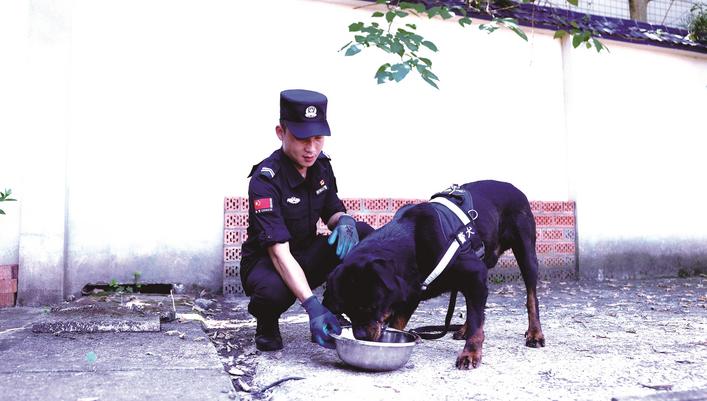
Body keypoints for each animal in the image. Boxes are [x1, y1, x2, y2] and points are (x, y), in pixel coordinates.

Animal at [324, 180, 544, 368]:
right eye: (347, 310)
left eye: (370, 307)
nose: (360, 335)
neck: (412, 245)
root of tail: (514, 188)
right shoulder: (412, 289)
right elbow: (398, 321)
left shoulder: (475, 273)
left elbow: (477, 320)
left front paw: (471, 353)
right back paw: (463, 329)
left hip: (525, 252)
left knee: (530, 297)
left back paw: (535, 333)